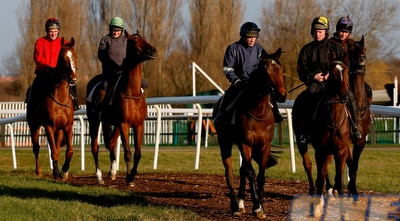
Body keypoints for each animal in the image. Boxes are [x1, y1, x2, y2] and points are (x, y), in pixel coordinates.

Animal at [26, 37, 78, 180]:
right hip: (34, 125)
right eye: (63, 57)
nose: (73, 78)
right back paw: (38, 172)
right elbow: (53, 151)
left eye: (75, 56)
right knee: (36, 147)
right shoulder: (49, 125)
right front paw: (56, 173)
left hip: (58, 130)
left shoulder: (67, 126)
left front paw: (64, 172)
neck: (60, 97)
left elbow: (69, 151)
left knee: (57, 147)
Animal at [86, 30, 156, 186]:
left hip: (113, 123)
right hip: (94, 121)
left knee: (111, 143)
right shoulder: (124, 124)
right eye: (134, 42)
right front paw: (129, 177)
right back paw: (99, 177)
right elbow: (128, 153)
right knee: (95, 148)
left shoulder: (138, 124)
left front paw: (133, 174)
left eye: (144, 39)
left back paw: (112, 172)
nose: (152, 50)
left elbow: (138, 153)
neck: (132, 92)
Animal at [214, 48, 286, 218]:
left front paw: (261, 205)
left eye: (281, 69)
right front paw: (256, 206)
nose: (282, 95)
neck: (257, 111)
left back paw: (241, 203)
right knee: (230, 174)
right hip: (225, 142)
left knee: (242, 171)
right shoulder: (245, 144)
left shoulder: (264, 145)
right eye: (266, 72)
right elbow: (251, 173)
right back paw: (235, 205)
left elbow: (260, 175)